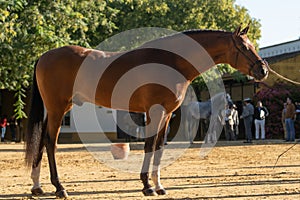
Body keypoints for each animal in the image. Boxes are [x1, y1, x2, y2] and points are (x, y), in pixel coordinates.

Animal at [26, 25, 270, 198]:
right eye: (244, 47)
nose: (263, 70)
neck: (172, 62)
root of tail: (44, 56)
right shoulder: (155, 112)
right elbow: (149, 146)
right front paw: (147, 186)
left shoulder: (167, 115)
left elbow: (159, 147)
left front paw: (159, 185)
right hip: (57, 109)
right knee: (50, 142)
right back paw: (59, 188)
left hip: (55, 109)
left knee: (41, 141)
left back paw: (38, 187)